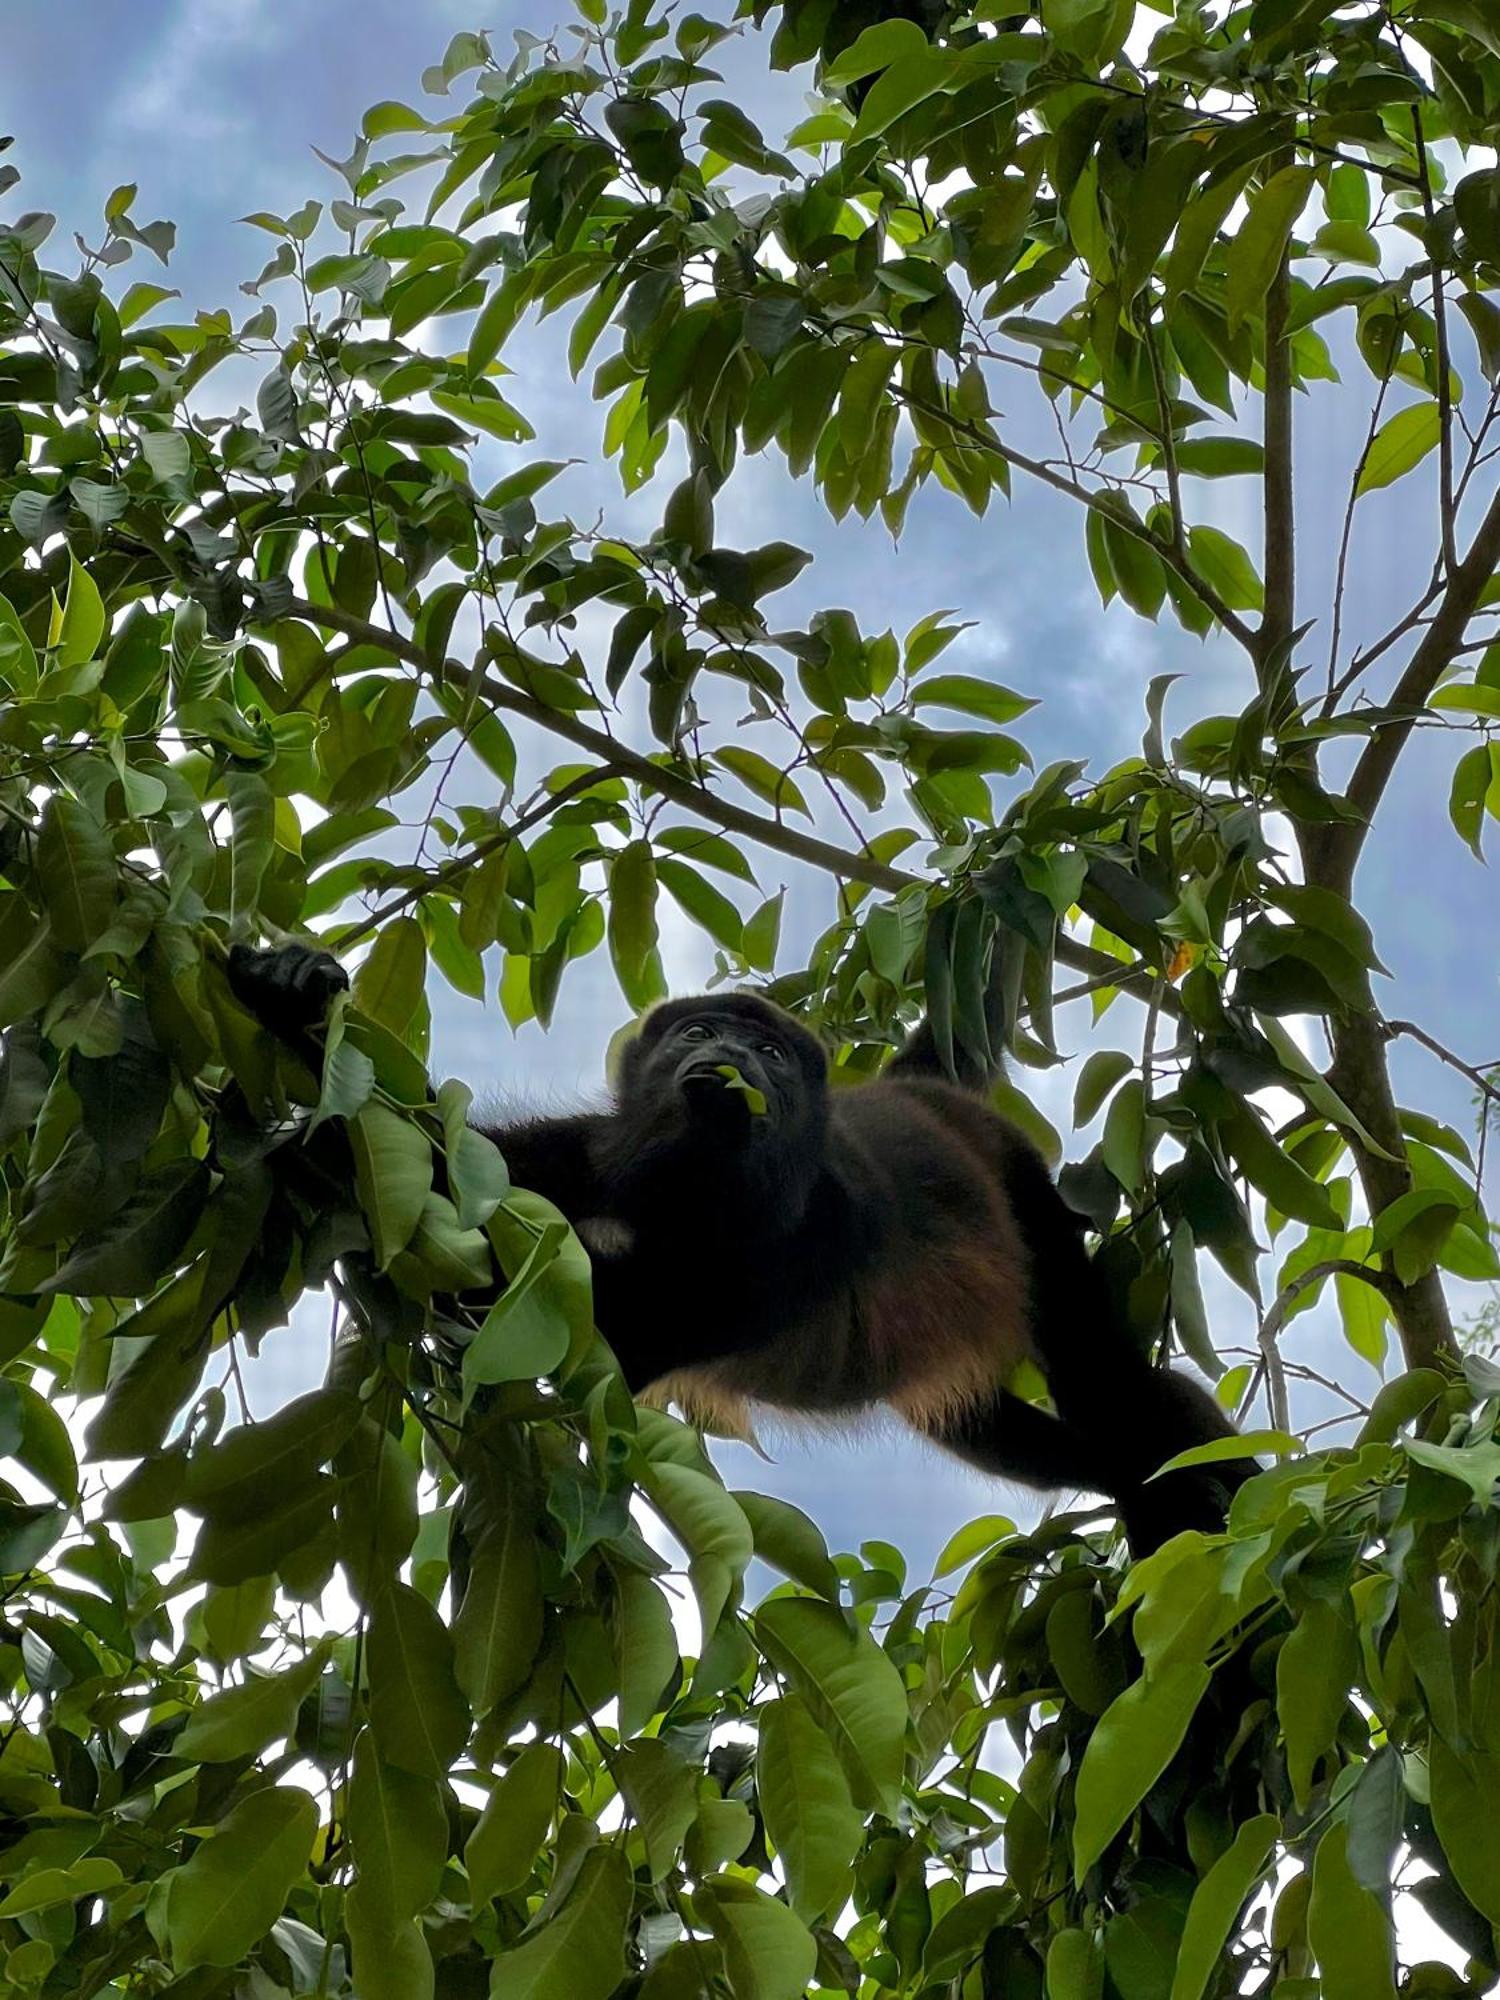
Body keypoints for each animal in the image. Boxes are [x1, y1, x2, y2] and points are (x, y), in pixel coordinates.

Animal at [229, 944, 1248, 1552]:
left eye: (773, 1052)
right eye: (700, 1028)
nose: (733, 1055)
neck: (692, 1190)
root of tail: (916, 1092)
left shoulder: (813, 1234)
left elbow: (619, 1333)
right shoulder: (586, 1156)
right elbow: (443, 1175)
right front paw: (297, 1004)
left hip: (1025, 1187)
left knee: (1110, 1381)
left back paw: (1204, 1492)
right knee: (994, 1431)